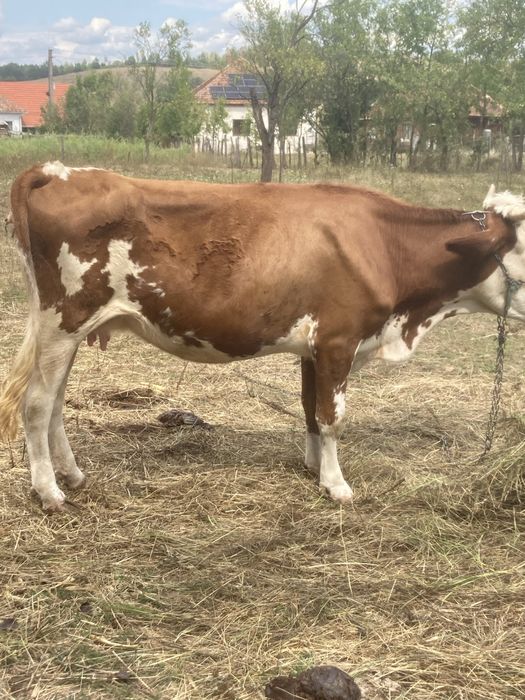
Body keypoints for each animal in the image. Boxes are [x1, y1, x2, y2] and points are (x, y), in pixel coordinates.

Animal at [1, 161, 525, 513]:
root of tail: (57, 171)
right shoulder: (339, 340)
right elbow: (332, 417)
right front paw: (338, 485)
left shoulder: (315, 347)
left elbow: (310, 408)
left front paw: (315, 468)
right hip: (62, 320)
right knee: (37, 404)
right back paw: (49, 492)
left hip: (70, 330)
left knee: (55, 402)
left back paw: (72, 475)